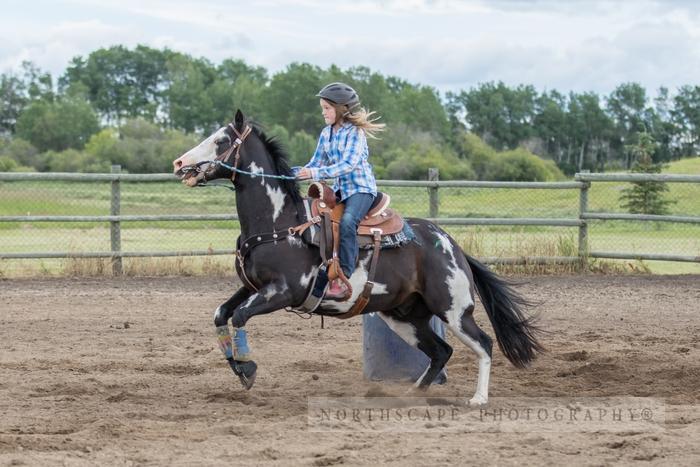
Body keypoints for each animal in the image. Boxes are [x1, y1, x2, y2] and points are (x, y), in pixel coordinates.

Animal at [174, 110, 540, 406]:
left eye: (220, 140)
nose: (179, 164)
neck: (280, 222)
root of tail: (452, 245)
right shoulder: (253, 287)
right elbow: (222, 314)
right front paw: (238, 366)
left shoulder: (283, 291)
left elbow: (239, 317)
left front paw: (247, 368)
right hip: (404, 316)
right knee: (441, 351)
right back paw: (411, 394)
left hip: (453, 308)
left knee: (484, 343)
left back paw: (478, 398)